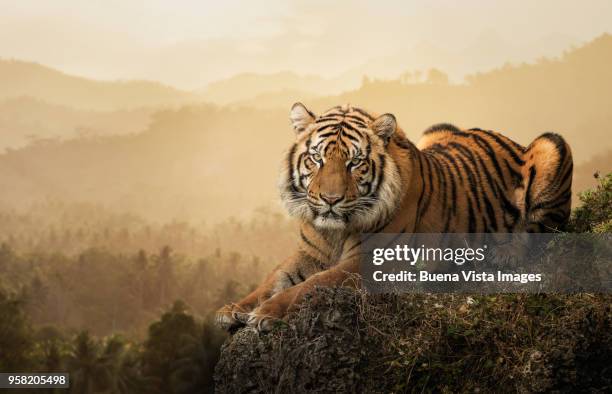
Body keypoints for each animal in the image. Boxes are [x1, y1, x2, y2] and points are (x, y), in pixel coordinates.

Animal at [216, 103, 572, 330]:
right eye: (317, 159)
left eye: (354, 162)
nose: (330, 200)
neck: (333, 231)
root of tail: (505, 136)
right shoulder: (309, 253)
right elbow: (273, 279)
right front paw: (233, 309)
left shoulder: (369, 261)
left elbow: (311, 285)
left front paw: (267, 314)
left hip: (552, 145)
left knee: (545, 232)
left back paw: (504, 253)